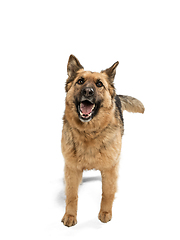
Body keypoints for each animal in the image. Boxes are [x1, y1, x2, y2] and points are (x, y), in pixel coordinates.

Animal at [61, 54, 144, 227]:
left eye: (99, 84)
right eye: (80, 81)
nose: (88, 91)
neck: (89, 133)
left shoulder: (110, 169)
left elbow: (107, 193)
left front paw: (105, 213)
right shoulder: (71, 168)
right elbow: (71, 195)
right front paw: (70, 215)